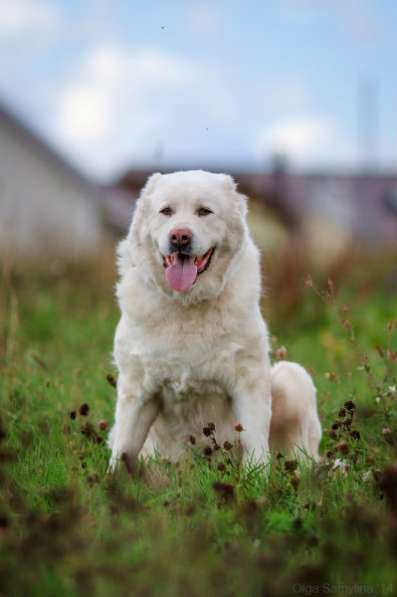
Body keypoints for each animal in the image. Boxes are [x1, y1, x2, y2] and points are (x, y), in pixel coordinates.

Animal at [109, 170, 322, 468]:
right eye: (166, 211)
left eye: (204, 211)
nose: (180, 236)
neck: (187, 304)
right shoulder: (137, 388)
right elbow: (124, 449)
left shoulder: (249, 380)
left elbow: (254, 443)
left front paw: (256, 479)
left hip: (293, 378)